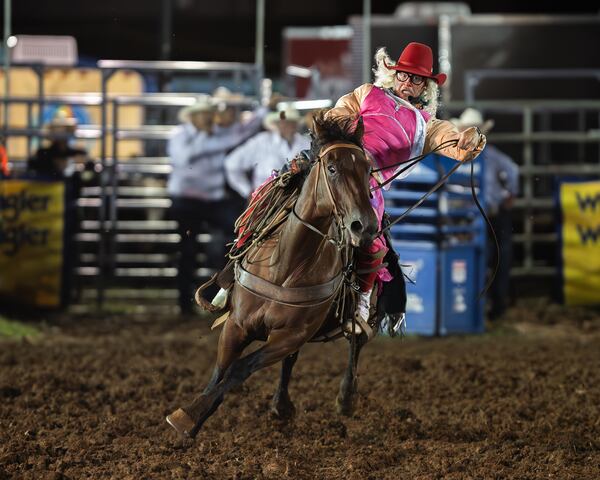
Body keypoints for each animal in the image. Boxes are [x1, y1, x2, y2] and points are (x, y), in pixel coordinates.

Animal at [166, 113, 378, 438]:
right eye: (332, 169)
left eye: (368, 169)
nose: (364, 227)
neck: (287, 265)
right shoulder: (237, 325)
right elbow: (221, 369)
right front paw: (191, 415)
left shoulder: (289, 336)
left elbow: (240, 368)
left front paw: (191, 415)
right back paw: (282, 406)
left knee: (356, 341)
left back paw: (345, 398)